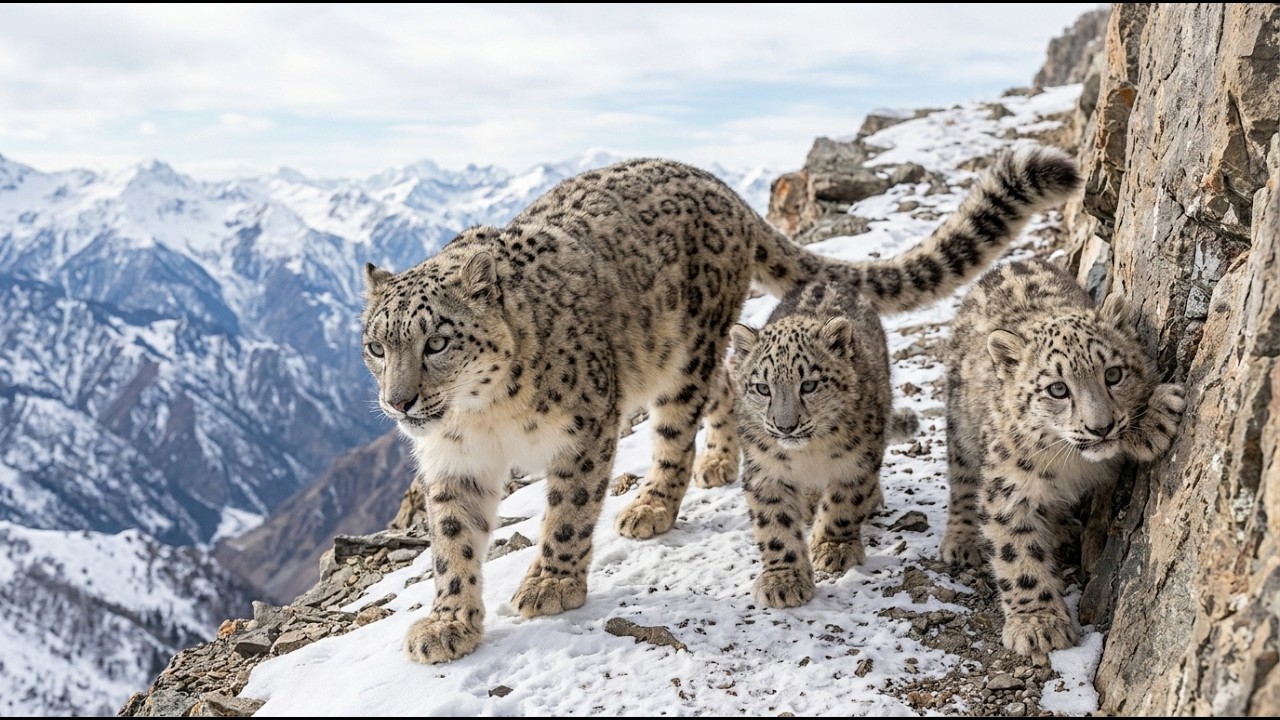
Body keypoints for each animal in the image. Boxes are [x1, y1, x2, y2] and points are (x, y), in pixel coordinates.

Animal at [696, 280, 920, 608]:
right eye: (763, 388)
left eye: (809, 385)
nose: (785, 426)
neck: (809, 454)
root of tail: (826, 281)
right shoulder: (765, 470)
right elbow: (774, 523)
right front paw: (783, 581)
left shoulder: (856, 462)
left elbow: (843, 503)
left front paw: (833, 549)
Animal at [937, 257, 1186, 661]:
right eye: (1057, 389)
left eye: (1113, 374)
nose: (1100, 427)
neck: (1073, 466)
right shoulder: (1008, 489)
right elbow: (1017, 555)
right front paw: (1038, 625)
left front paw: (1156, 415)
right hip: (961, 430)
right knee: (961, 481)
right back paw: (961, 541)